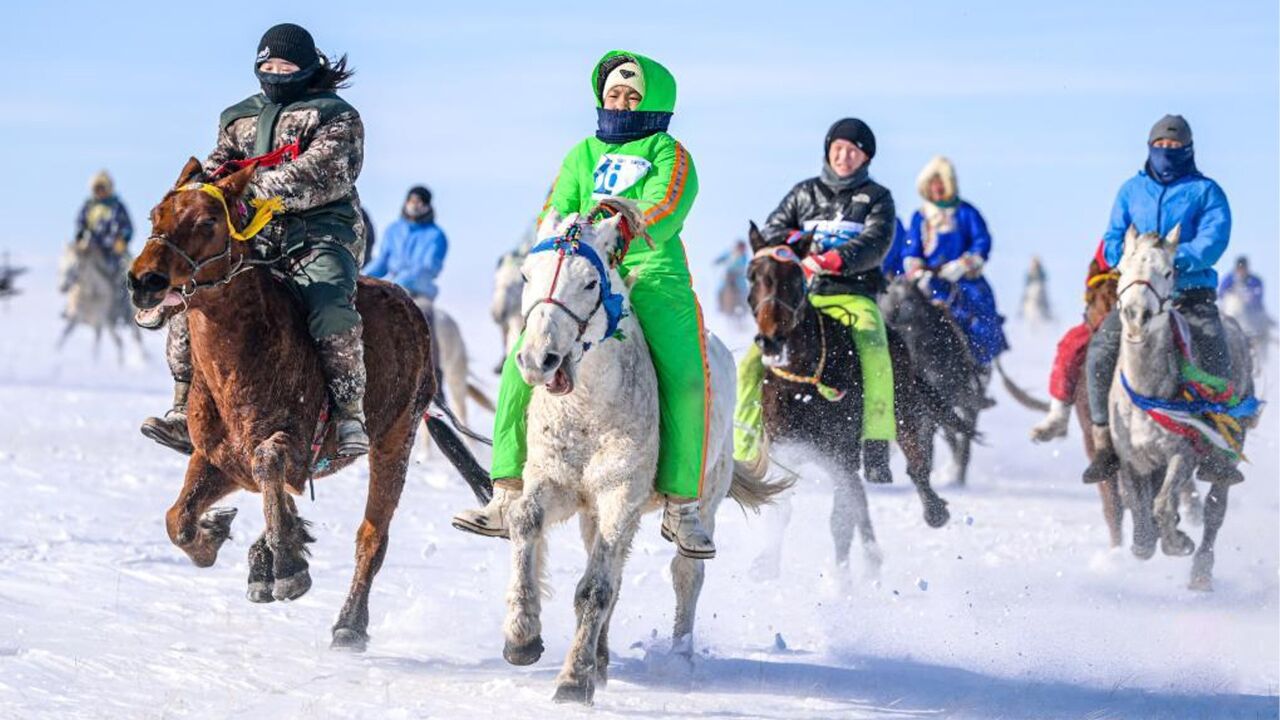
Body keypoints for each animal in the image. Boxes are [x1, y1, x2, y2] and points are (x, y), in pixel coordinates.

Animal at [127, 158, 491, 650]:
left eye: (207, 221)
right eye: (155, 215)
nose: (143, 280)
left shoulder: (295, 451)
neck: (241, 359)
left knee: (372, 537)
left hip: (395, 439)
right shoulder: (219, 459)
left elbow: (269, 463)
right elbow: (178, 519)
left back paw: (349, 624)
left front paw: (288, 566)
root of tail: (414, 313)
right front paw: (223, 534)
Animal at [499, 201, 789, 705]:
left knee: (685, 574)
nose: (538, 360)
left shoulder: (620, 495)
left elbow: (595, 589)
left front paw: (573, 680)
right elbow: (526, 522)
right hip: (594, 511)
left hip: (703, 500)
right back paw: (601, 658)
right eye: (526, 275)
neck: (588, 410)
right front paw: (523, 636)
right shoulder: (555, 483)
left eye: (589, 283)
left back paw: (678, 659)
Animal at [744, 224, 958, 574]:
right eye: (752, 276)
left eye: (795, 277)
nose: (771, 340)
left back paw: (931, 512)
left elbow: (841, 520)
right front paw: (767, 563)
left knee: (915, 466)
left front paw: (841, 580)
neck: (804, 382)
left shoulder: (841, 455)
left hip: (903, 416)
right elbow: (782, 505)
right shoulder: (785, 449)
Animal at [1109, 225, 1253, 590]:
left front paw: (1178, 542)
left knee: (1215, 510)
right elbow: (1139, 509)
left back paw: (1201, 572)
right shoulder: (1131, 459)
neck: (1147, 392)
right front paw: (1150, 539)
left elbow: (1162, 503)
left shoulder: (1182, 454)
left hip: (1226, 455)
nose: (1137, 316)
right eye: (1124, 267)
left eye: (1169, 271)